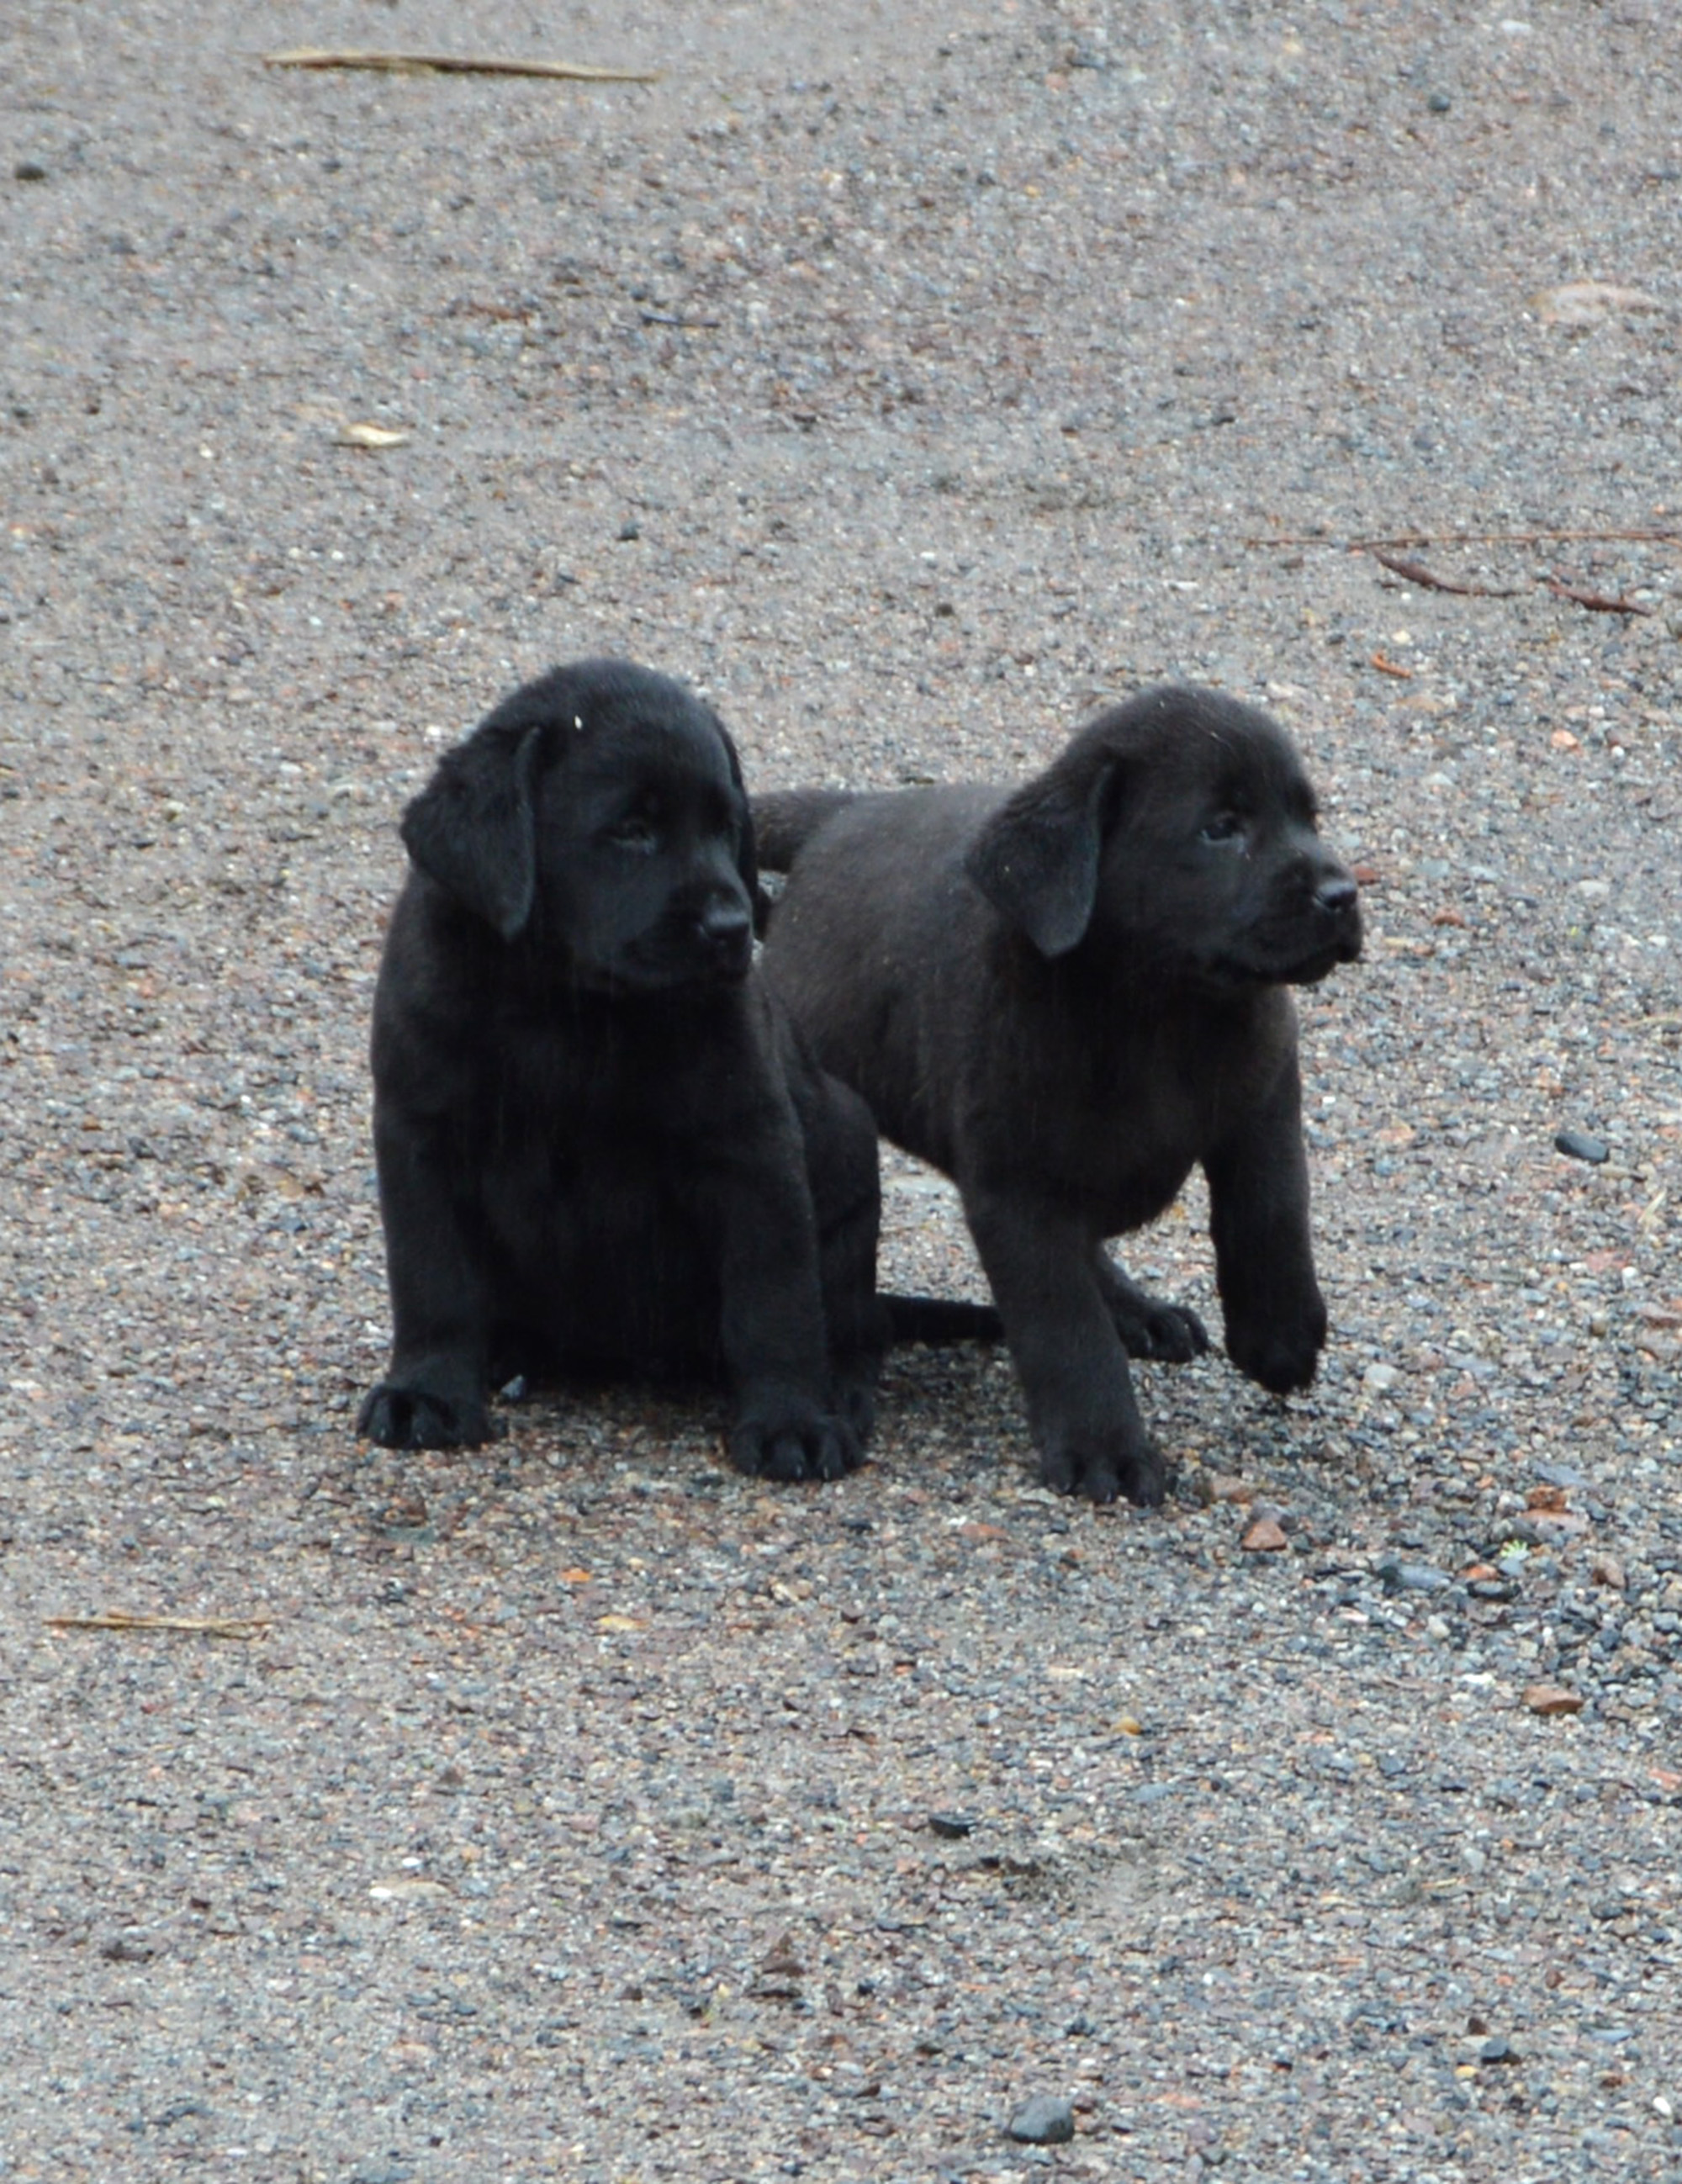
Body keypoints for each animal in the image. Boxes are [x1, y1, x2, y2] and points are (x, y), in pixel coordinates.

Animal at [352, 659, 878, 1484]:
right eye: (632, 831)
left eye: (727, 828)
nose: (731, 926)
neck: (564, 1005)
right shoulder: (419, 1131)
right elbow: (431, 1276)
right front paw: (426, 1391)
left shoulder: (751, 1146)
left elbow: (776, 1299)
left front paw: (793, 1419)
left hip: (852, 1154)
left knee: (851, 1322)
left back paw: (844, 1391)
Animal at [751, 681, 1354, 1502]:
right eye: (1221, 829)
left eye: (1307, 817)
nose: (1342, 894)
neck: (1159, 1013)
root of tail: (838, 819)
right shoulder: (1016, 1183)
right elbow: (1064, 1324)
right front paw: (1106, 1448)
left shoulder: (1264, 1089)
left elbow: (1273, 1208)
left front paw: (1281, 1335)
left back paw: (1140, 1310)